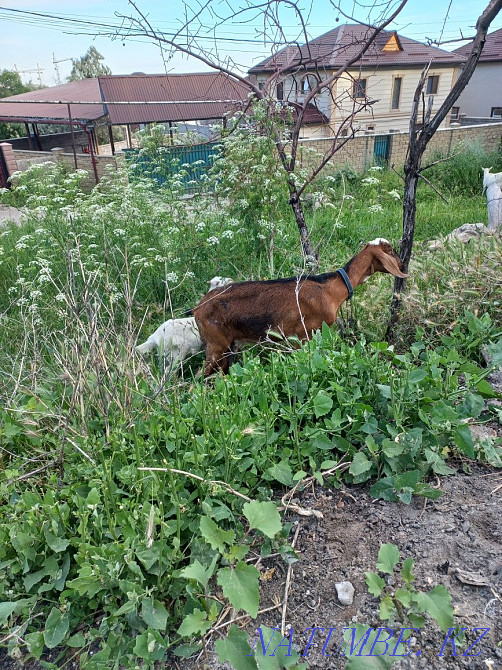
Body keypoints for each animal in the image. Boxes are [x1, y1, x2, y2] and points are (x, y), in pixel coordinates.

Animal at [194, 239, 407, 376]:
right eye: (390, 250)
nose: (402, 264)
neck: (331, 288)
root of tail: (197, 309)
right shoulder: (304, 334)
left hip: (227, 348)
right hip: (216, 345)